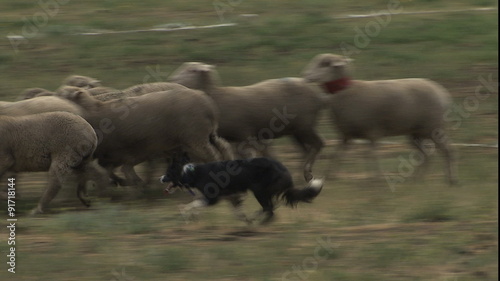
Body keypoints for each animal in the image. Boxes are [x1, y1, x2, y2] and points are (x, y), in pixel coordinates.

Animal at [167, 62, 324, 180]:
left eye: (192, 70)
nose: (172, 80)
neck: (217, 96)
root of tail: (316, 92)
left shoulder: (244, 135)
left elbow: (250, 157)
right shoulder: (232, 139)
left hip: (305, 125)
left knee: (318, 144)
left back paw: (307, 173)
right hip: (296, 130)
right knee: (306, 150)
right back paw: (301, 176)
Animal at [300, 53, 458, 184]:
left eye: (325, 64)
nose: (306, 75)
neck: (346, 91)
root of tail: (442, 92)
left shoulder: (373, 131)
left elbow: (371, 155)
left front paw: (376, 178)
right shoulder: (346, 135)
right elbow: (337, 155)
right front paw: (330, 176)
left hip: (434, 127)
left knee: (447, 150)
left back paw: (451, 179)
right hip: (416, 133)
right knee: (426, 154)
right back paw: (418, 179)